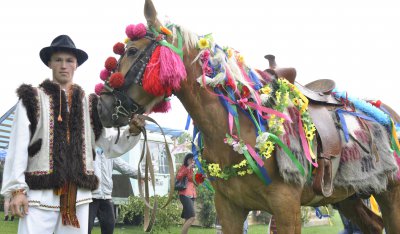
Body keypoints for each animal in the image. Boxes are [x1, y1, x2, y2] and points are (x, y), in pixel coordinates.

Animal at [95, 0, 400, 233]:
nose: (103, 106)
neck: (240, 130)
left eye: (132, 50)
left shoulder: (286, 208)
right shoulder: (229, 208)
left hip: (390, 193)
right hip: (347, 196)